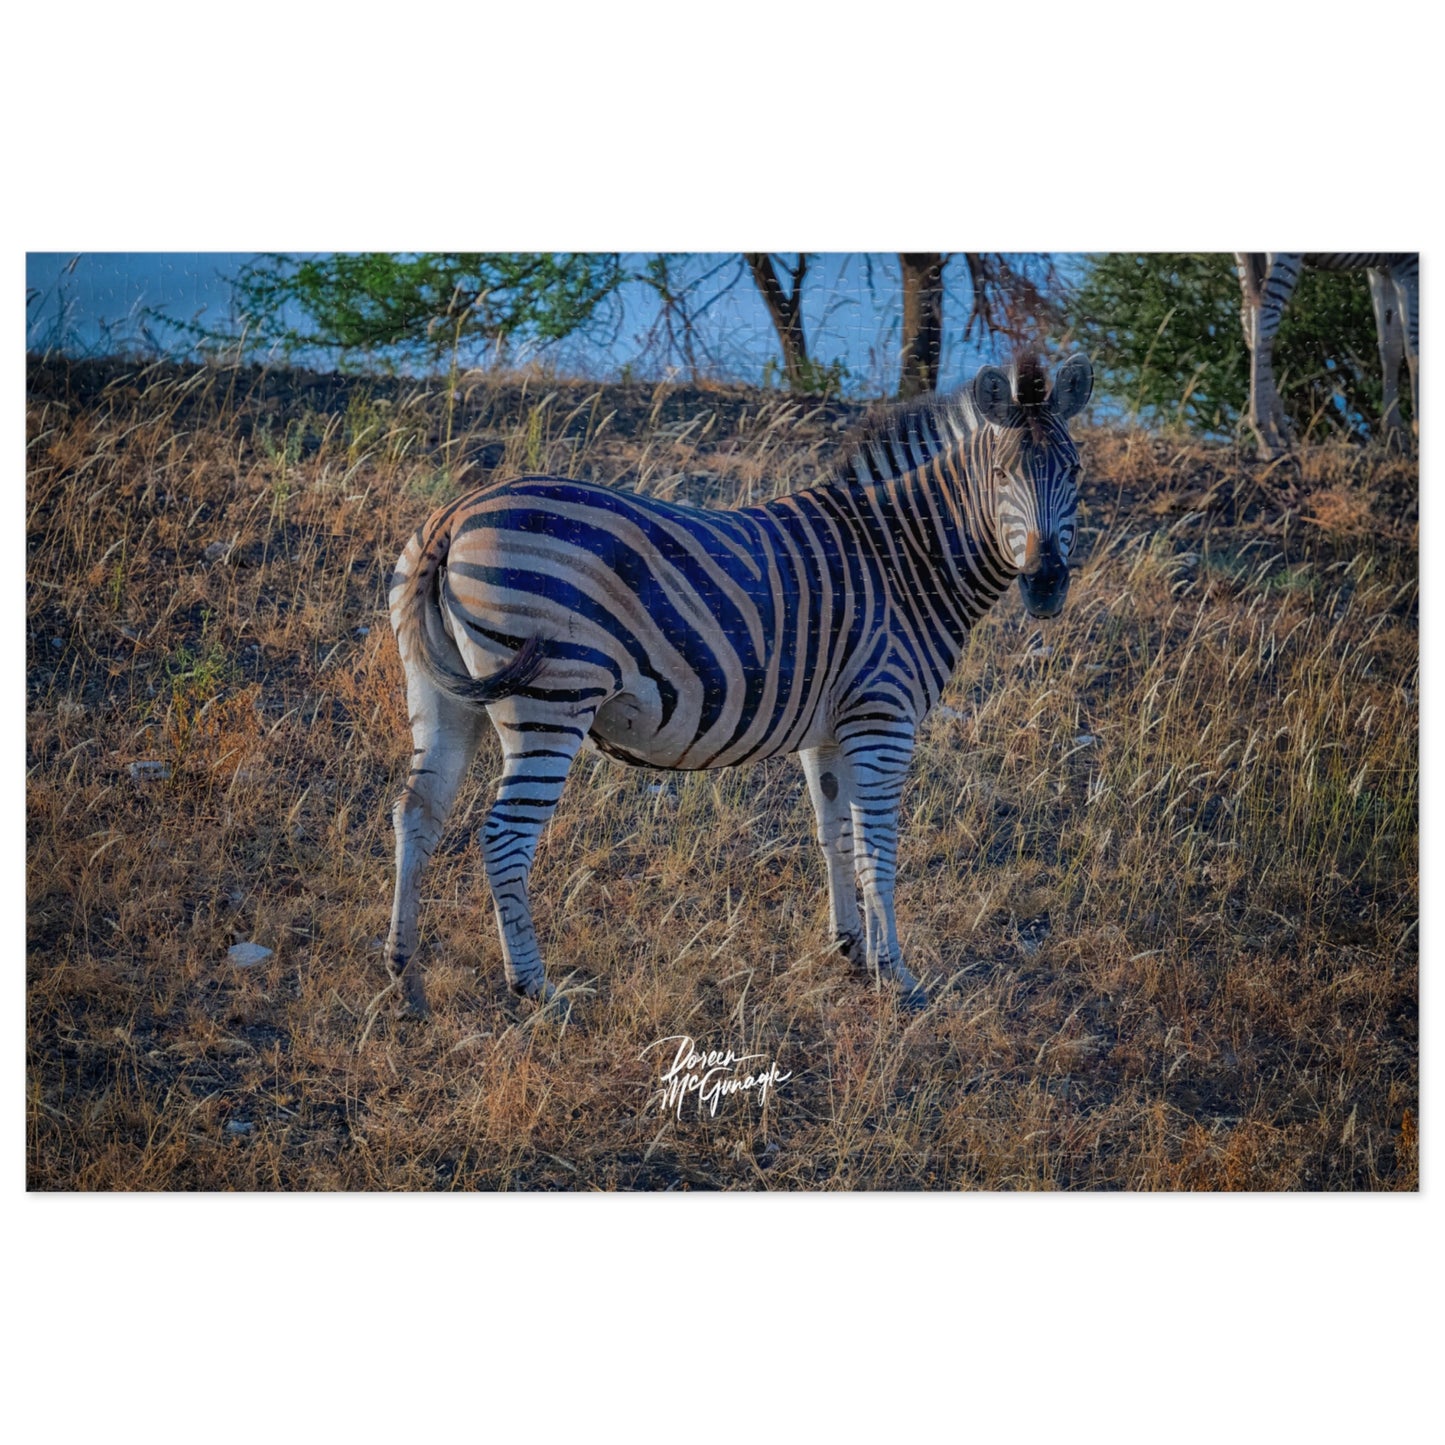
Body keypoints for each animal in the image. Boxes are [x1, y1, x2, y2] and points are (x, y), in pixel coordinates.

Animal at [383, 353, 1094, 1016]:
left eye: (1076, 474)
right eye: (1002, 476)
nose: (1047, 584)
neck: (905, 562)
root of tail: (454, 515)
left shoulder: (830, 730)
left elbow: (834, 834)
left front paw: (851, 950)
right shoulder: (882, 718)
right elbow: (877, 847)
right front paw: (898, 975)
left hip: (439, 694)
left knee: (417, 813)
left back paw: (405, 974)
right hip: (551, 701)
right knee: (503, 838)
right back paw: (535, 988)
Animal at [1235, 252, 1419, 456]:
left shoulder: (1383, 268)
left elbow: (1390, 348)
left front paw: (1395, 434)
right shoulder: (1410, 265)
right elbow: (1414, 350)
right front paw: (1416, 429)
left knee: (1249, 315)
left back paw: (1278, 429)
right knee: (1264, 313)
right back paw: (1265, 431)